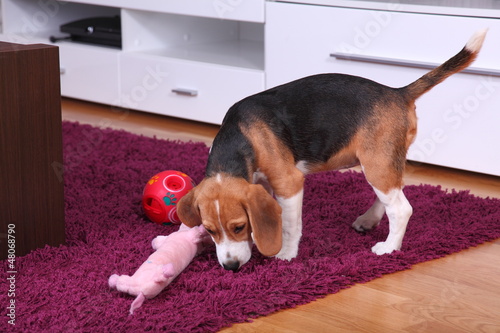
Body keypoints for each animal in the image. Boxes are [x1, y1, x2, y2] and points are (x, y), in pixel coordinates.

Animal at [177, 29, 484, 272]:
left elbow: (289, 225)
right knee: (391, 194)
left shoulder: (289, 184)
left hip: (376, 163)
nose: (230, 267)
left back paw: (389, 247)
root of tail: (397, 92)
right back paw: (369, 220)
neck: (241, 135)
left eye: (239, 227)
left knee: (401, 208)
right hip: (383, 162)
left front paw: (286, 254)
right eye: (209, 230)